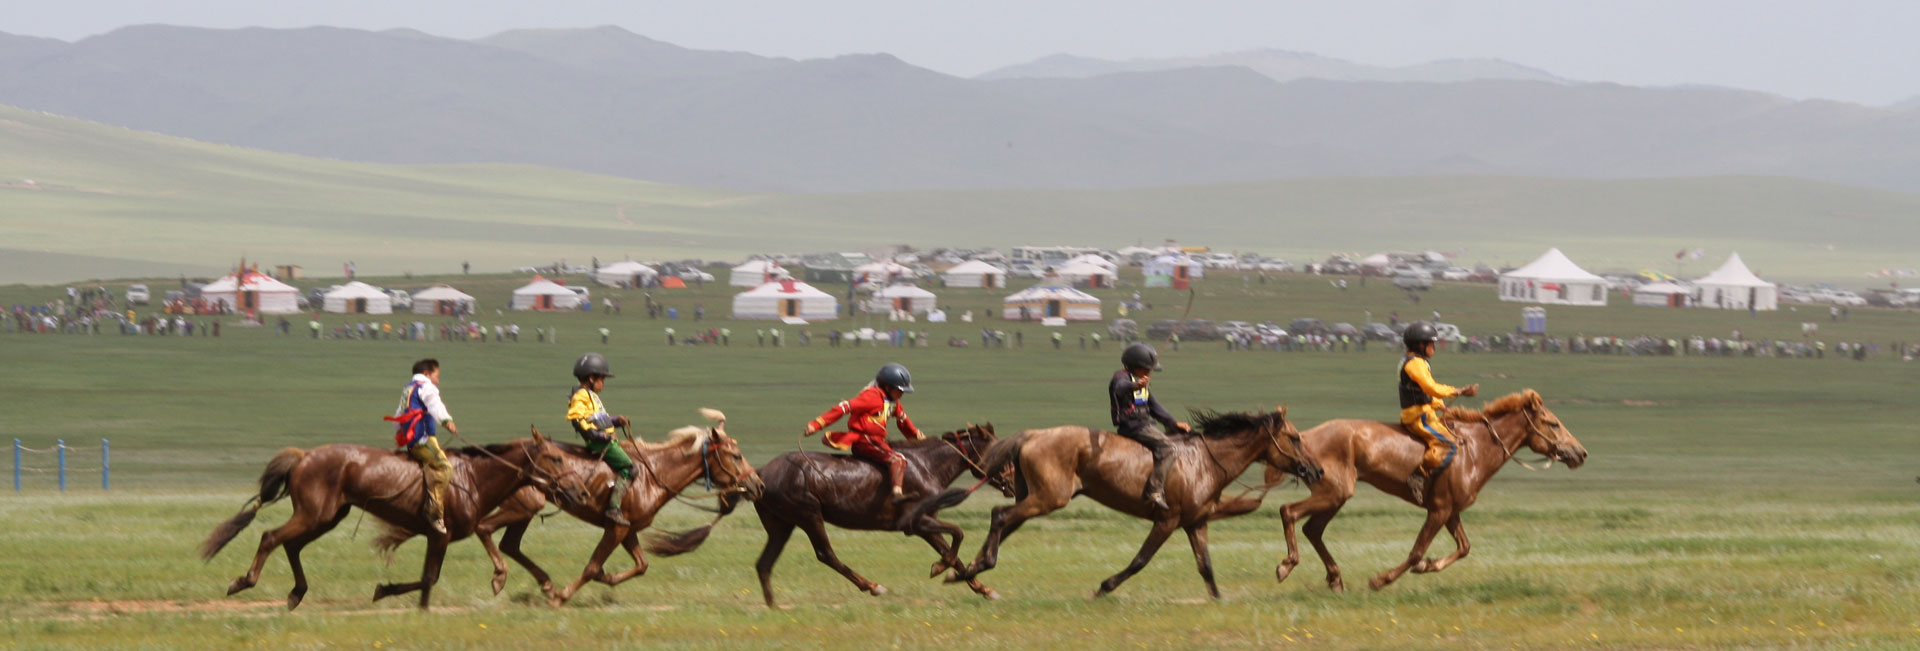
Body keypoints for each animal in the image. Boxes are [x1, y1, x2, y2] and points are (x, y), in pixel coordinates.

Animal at [199, 434, 568, 610]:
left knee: (290, 544)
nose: (570, 489)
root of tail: (305, 457)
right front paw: (384, 591)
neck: (474, 478)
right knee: (271, 537)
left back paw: (296, 593)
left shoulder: (436, 538)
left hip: (326, 518)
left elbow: (428, 580)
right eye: (557, 457)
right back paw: (243, 582)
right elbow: (429, 578)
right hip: (312, 515)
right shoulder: (440, 535)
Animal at [401, 410, 760, 610]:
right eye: (736, 455)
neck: (653, 474)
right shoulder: (616, 528)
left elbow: (640, 565)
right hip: (524, 506)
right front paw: (562, 596)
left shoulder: (627, 530)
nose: (757, 485)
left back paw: (543, 583)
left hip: (525, 512)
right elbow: (591, 567)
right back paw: (505, 579)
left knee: (509, 544)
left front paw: (606, 578)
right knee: (487, 530)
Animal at [721, 422, 1013, 606]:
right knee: (825, 554)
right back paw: (873, 586)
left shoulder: (925, 524)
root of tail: (759, 474)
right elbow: (957, 535)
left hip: (781, 525)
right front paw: (940, 568)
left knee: (764, 563)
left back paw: (773, 606)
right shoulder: (916, 523)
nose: (1012, 484)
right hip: (809, 515)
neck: (927, 466)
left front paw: (984, 589)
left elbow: (952, 549)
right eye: (1003, 453)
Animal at [940, 410, 1320, 599]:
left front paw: (1217, 600)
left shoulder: (1196, 523)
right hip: (1048, 498)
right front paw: (1103, 588)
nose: (1317, 470)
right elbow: (1140, 561)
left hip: (1032, 497)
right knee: (1000, 515)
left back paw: (967, 571)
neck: (1204, 463)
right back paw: (975, 568)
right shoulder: (1167, 521)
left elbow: (1206, 568)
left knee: (1004, 521)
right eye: (1295, 438)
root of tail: (1032, 435)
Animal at [1274, 389, 1589, 595]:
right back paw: (1286, 566)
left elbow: (1464, 547)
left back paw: (1335, 579)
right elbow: (1416, 552)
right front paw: (1381, 580)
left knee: (1313, 529)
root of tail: (1304, 437)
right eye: (1553, 423)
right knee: (1288, 511)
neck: (1474, 449)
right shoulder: (1438, 510)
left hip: (1335, 497)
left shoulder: (1451, 511)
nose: (1581, 453)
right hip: (1333, 493)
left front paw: (1429, 566)